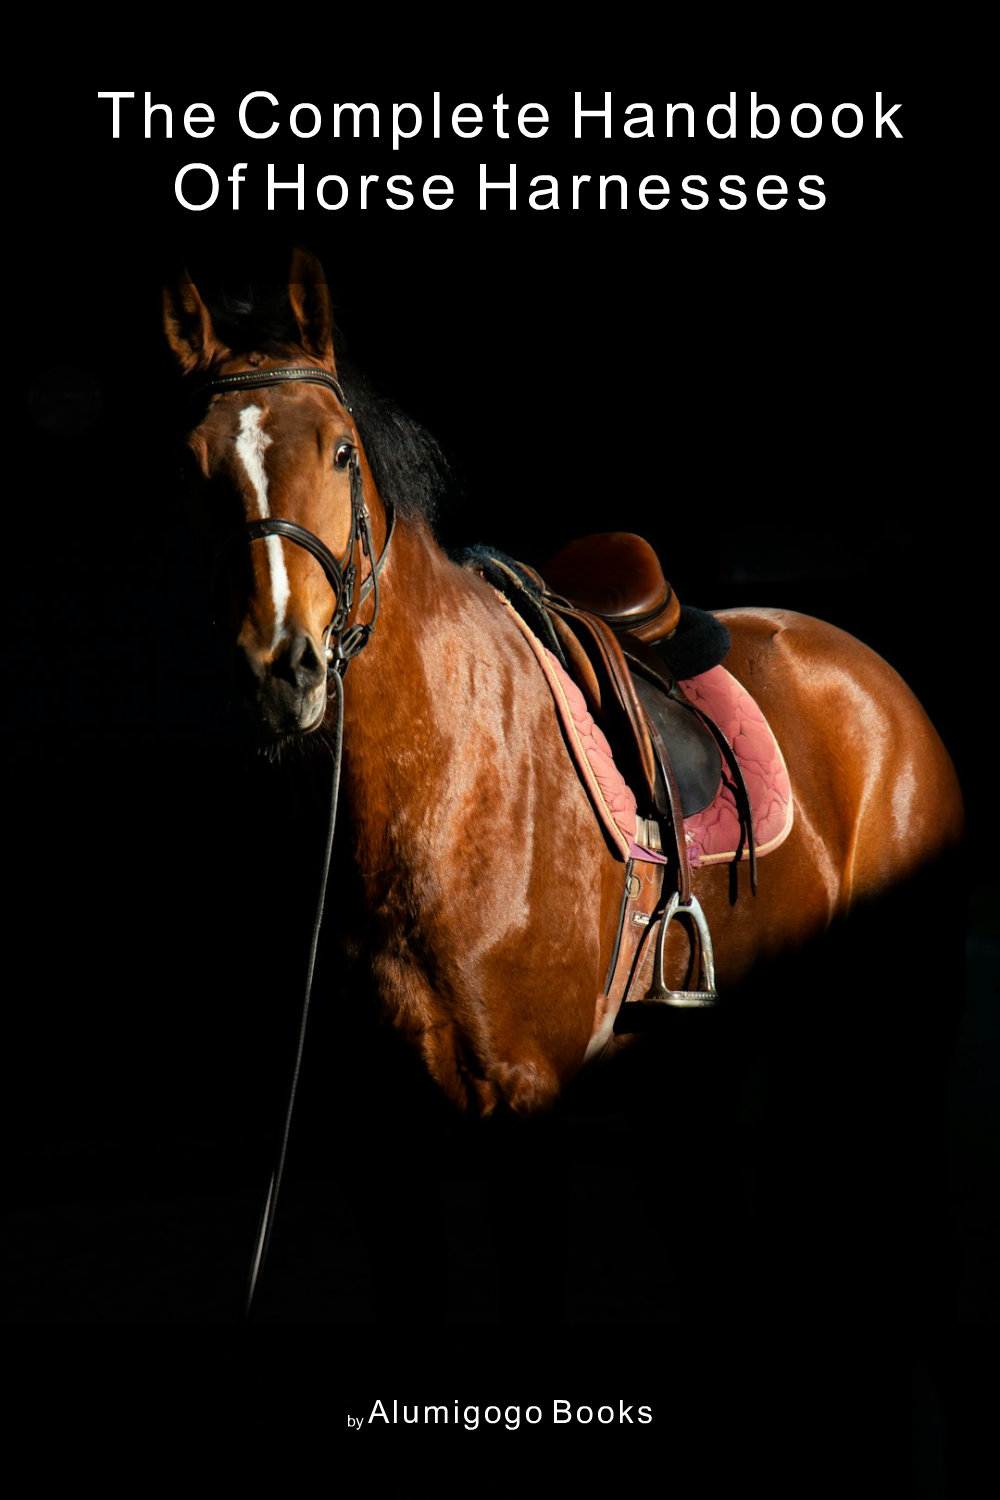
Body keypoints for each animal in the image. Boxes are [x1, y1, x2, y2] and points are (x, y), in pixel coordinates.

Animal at [163, 249, 965, 1325]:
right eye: (193, 467)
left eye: (338, 453)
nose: (282, 668)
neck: (440, 797)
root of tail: (881, 685)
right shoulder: (377, 1144)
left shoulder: (526, 1115)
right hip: (691, 1084)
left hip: (886, 1040)